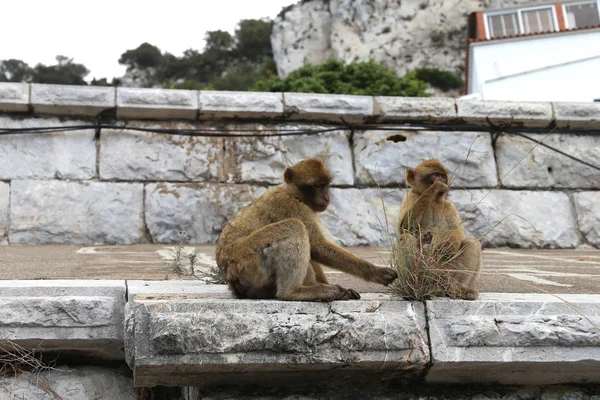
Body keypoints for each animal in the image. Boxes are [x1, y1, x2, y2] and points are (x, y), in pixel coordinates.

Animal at [217, 158, 398, 302]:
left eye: (325, 186)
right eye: (317, 186)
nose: (327, 197)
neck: (293, 193)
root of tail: (229, 277)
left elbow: (314, 249)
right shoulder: (290, 206)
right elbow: (317, 245)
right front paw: (376, 272)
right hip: (247, 261)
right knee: (294, 226)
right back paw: (293, 292)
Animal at [398, 159, 482, 300]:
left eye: (443, 176)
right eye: (435, 175)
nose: (442, 180)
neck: (433, 201)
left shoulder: (448, 205)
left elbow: (457, 234)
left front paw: (447, 247)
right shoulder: (410, 197)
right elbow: (404, 227)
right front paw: (434, 188)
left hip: (446, 271)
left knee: (472, 242)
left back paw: (455, 289)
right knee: (406, 237)